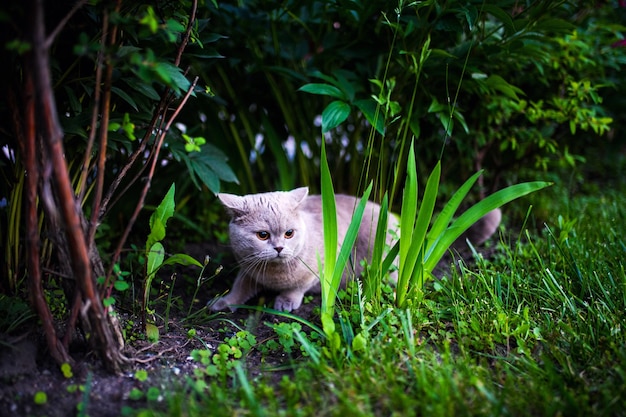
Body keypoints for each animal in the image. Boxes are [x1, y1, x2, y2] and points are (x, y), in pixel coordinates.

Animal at [208, 187, 498, 310]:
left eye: (289, 233)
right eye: (263, 235)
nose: (279, 248)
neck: (272, 275)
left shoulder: (318, 268)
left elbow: (297, 287)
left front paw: (285, 302)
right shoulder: (248, 270)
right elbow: (239, 288)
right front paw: (222, 303)